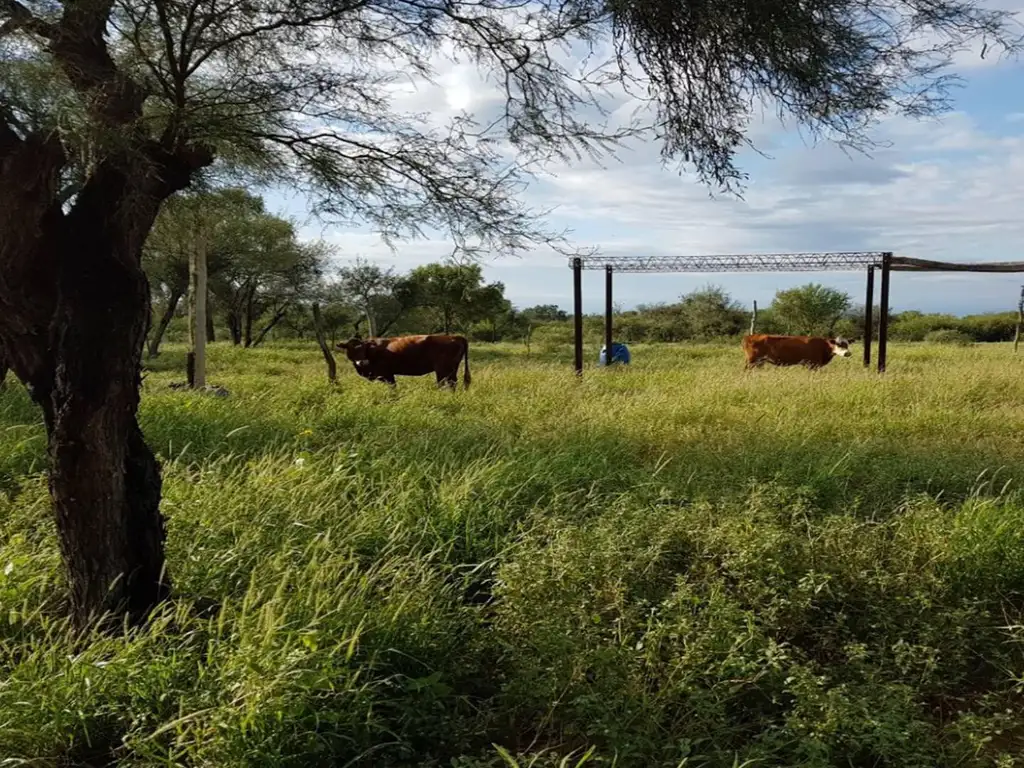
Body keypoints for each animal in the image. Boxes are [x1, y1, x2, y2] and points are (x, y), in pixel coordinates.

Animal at [335, 333, 471, 391]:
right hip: (452, 370)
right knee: (453, 383)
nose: (361, 362)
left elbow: (393, 389)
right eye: (350, 348)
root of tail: (455, 336)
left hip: (442, 370)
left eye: (363, 348)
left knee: (445, 384)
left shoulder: (387, 374)